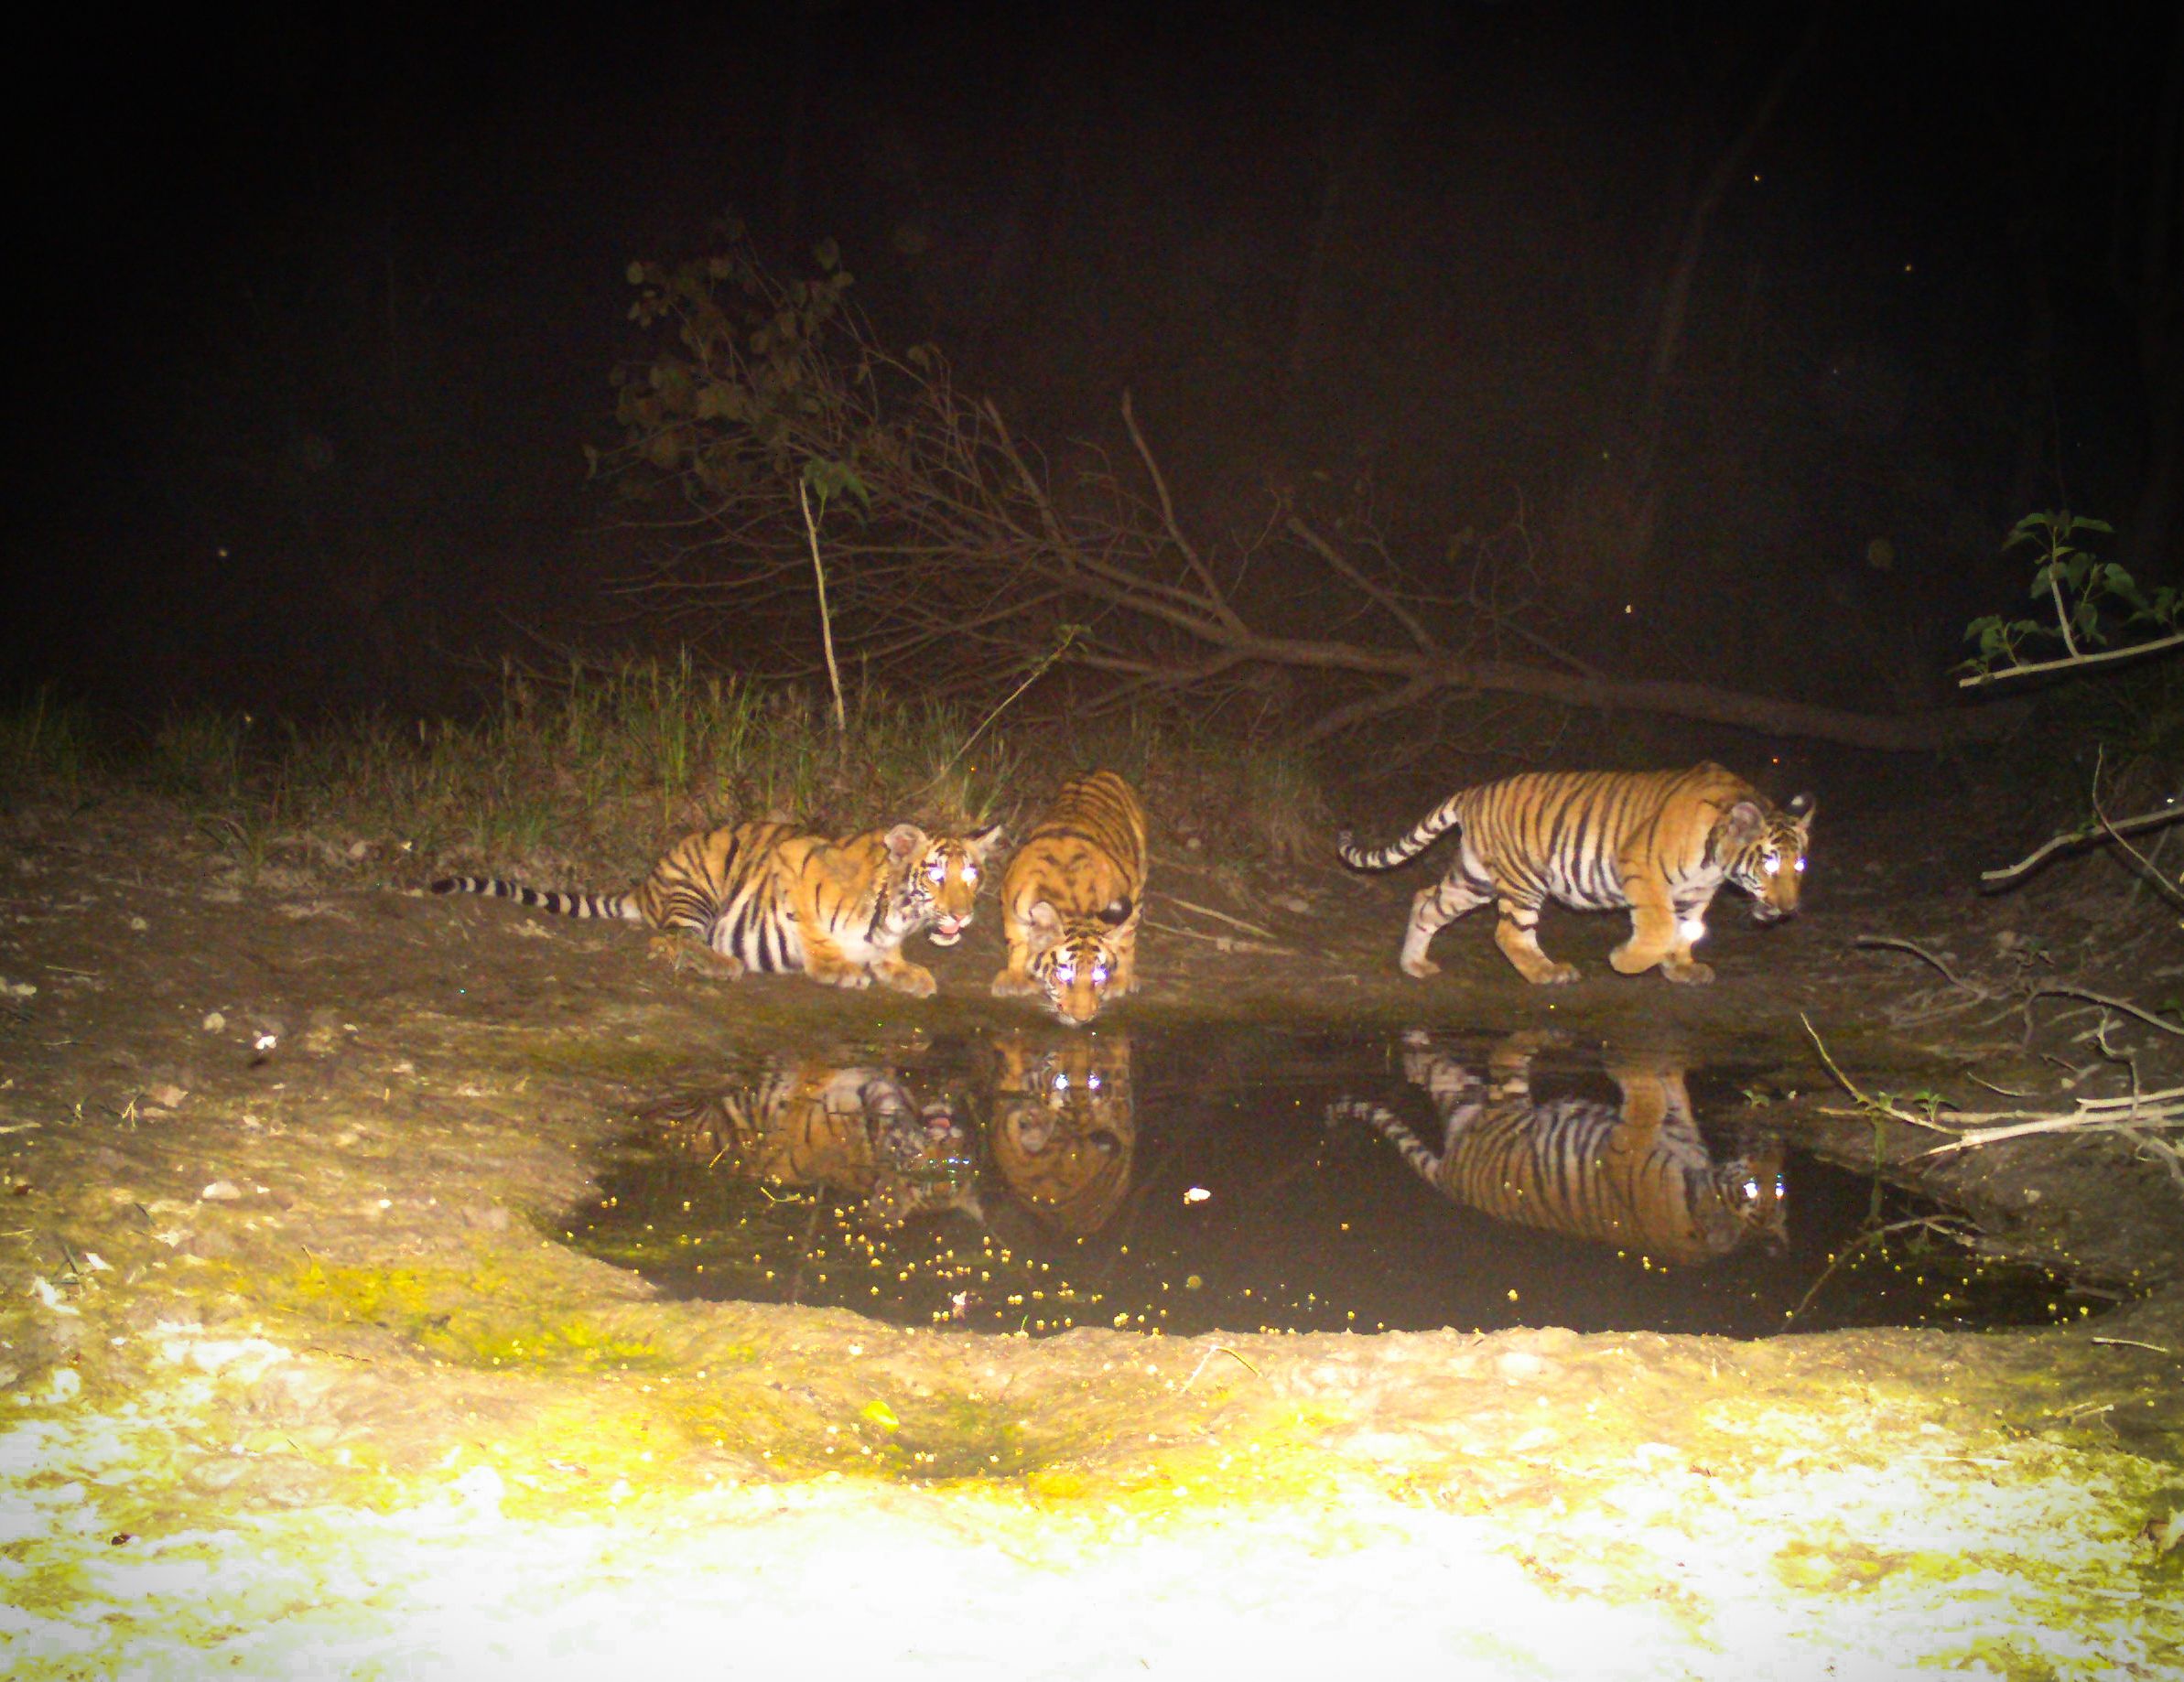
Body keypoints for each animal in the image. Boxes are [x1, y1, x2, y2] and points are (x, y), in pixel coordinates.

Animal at [432, 818, 1002, 997]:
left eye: (971, 875)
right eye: (935, 876)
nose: (962, 915)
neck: (898, 914)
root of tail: (646, 882)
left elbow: (887, 957)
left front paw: (907, 972)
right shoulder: (795, 868)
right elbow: (816, 933)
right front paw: (839, 968)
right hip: (699, 887)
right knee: (668, 941)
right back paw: (721, 963)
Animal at [991, 770, 1148, 1025]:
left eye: (1098, 975)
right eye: (1064, 975)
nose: (1082, 1018)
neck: (1075, 908)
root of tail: (1097, 771)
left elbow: (1124, 942)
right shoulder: (1010, 906)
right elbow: (1017, 943)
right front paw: (1014, 979)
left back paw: (1123, 980)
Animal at [1326, 1030, 1787, 1265]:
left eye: (1755, 1190)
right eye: (1778, 1184)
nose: (1772, 1149)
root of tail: (1451, 1176)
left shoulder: (1624, 1150)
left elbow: (1644, 1103)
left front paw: (1625, 1064)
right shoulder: (1676, 1129)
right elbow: (1673, 1095)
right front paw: (1660, 1061)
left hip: (1499, 1105)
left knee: (1498, 1056)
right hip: (1477, 1099)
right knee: (1438, 1070)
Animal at [1337, 763, 1813, 984]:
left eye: (1799, 864)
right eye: (1769, 862)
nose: (1789, 909)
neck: (1716, 857)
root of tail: (1475, 791)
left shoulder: (1696, 894)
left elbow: (1685, 931)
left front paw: (1681, 969)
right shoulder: (1641, 870)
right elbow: (1660, 928)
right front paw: (1625, 961)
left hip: (1475, 879)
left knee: (1426, 901)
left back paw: (1414, 964)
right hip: (1523, 879)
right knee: (1508, 933)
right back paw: (1547, 973)